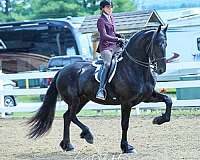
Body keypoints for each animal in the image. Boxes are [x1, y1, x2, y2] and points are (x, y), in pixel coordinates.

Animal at [28, 25, 172, 154]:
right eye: (157, 44)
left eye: (165, 44)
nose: (161, 69)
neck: (134, 68)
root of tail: (62, 70)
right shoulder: (126, 103)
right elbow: (124, 124)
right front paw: (126, 147)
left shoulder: (147, 97)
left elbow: (168, 100)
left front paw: (159, 120)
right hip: (74, 100)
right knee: (71, 116)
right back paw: (87, 135)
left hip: (82, 100)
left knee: (67, 117)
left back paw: (67, 145)